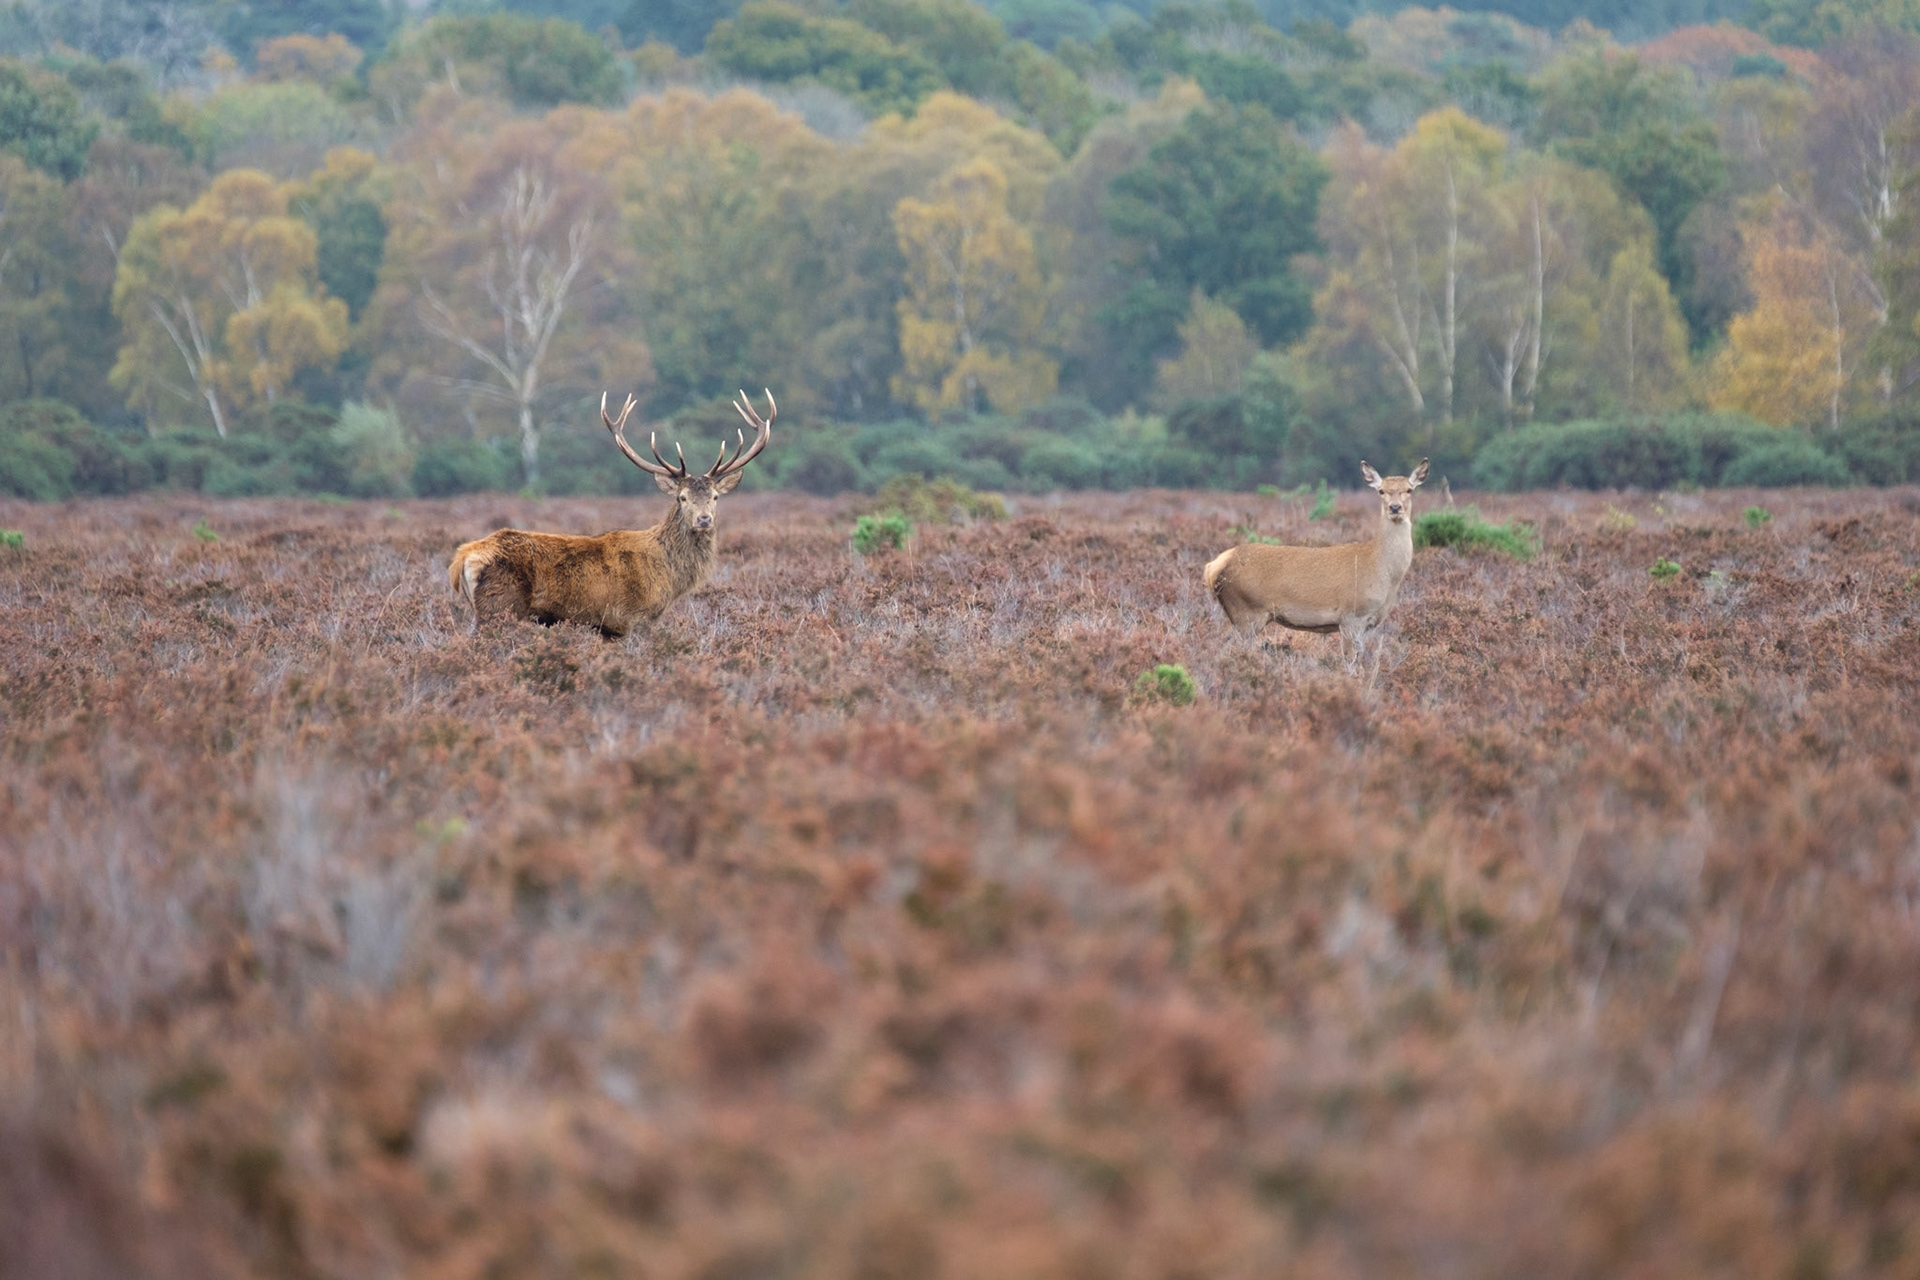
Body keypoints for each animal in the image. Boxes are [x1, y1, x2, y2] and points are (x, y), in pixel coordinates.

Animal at [448, 389, 774, 639]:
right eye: (682, 498)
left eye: (715, 497)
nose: (704, 519)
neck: (669, 578)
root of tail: (462, 557)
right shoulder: (635, 618)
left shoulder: (608, 629)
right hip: (500, 607)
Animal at [1203, 458, 1430, 667]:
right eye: (1381, 491)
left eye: (1409, 489)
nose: (1395, 507)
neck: (1383, 572)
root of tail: (1212, 567)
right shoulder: (1351, 615)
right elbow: (1349, 663)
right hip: (1246, 610)